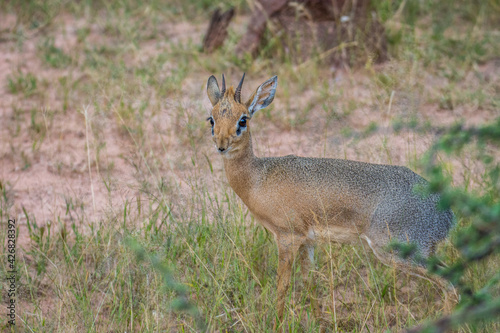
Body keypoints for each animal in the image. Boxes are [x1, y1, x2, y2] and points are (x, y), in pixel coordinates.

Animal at [204, 72, 458, 324]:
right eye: (211, 119)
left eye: (243, 120)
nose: (222, 145)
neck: (258, 178)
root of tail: (447, 214)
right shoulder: (307, 241)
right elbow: (310, 280)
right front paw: (319, 322)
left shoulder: (287, 237)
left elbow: (282, 286)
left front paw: (276, 324)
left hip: (397, 251)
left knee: (451, 286)